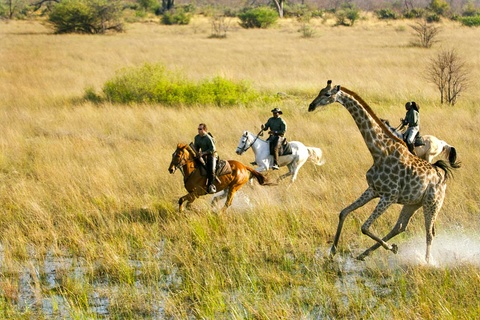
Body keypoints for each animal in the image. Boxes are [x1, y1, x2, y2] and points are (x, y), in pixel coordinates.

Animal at [308, 80, 458, 262]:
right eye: (320, 91)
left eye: (327, 94)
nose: (311, 106)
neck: (379, 152)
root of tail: (442, 175)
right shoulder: (373, 190)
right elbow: (344, 212)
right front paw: (332, 251)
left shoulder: (389, 196)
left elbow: (364, 227)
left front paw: (391, 248)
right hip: (413, 203)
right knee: (400, 226)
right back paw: (364, 254)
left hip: (432, 203)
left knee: (429, 233)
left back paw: (426, 262)